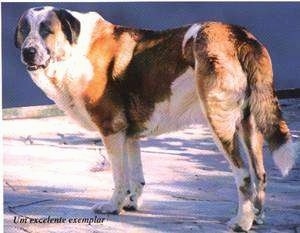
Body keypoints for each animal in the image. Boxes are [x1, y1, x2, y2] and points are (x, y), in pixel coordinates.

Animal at [15, 6, 296, 232]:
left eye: (46, 30)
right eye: (25, 30)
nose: (28, 51)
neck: (75, 51)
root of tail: (240, 35)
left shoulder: (111, 131)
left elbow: (119, 177)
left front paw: (113, 206)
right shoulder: (129, 135)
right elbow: (136, 175)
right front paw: (131, 203)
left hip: (220, 124)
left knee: (244, 175)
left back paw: (241, 222)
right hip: (250, 127)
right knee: (260, 174)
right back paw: (256, 218)